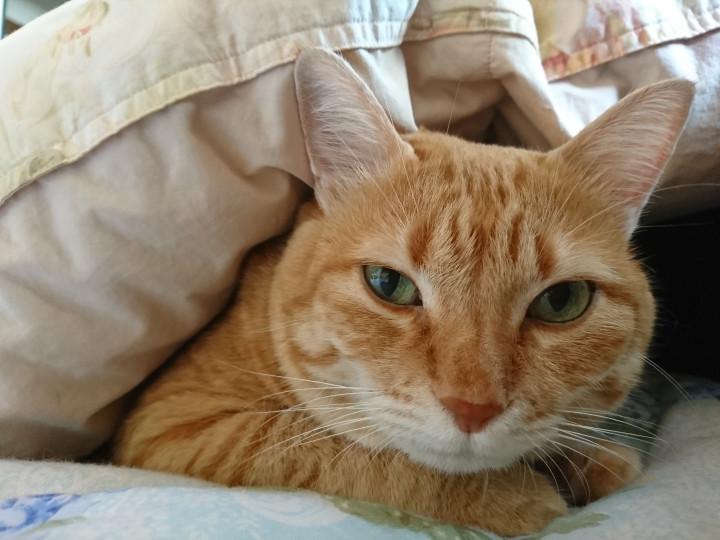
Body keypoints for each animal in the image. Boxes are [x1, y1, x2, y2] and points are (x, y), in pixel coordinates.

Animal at [113, 48, 693, 536]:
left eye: (561, 301)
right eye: (388, 284)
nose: (472, 408)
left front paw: (589, 462)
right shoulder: (171, 427)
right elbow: (342, 454)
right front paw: (517, 497)